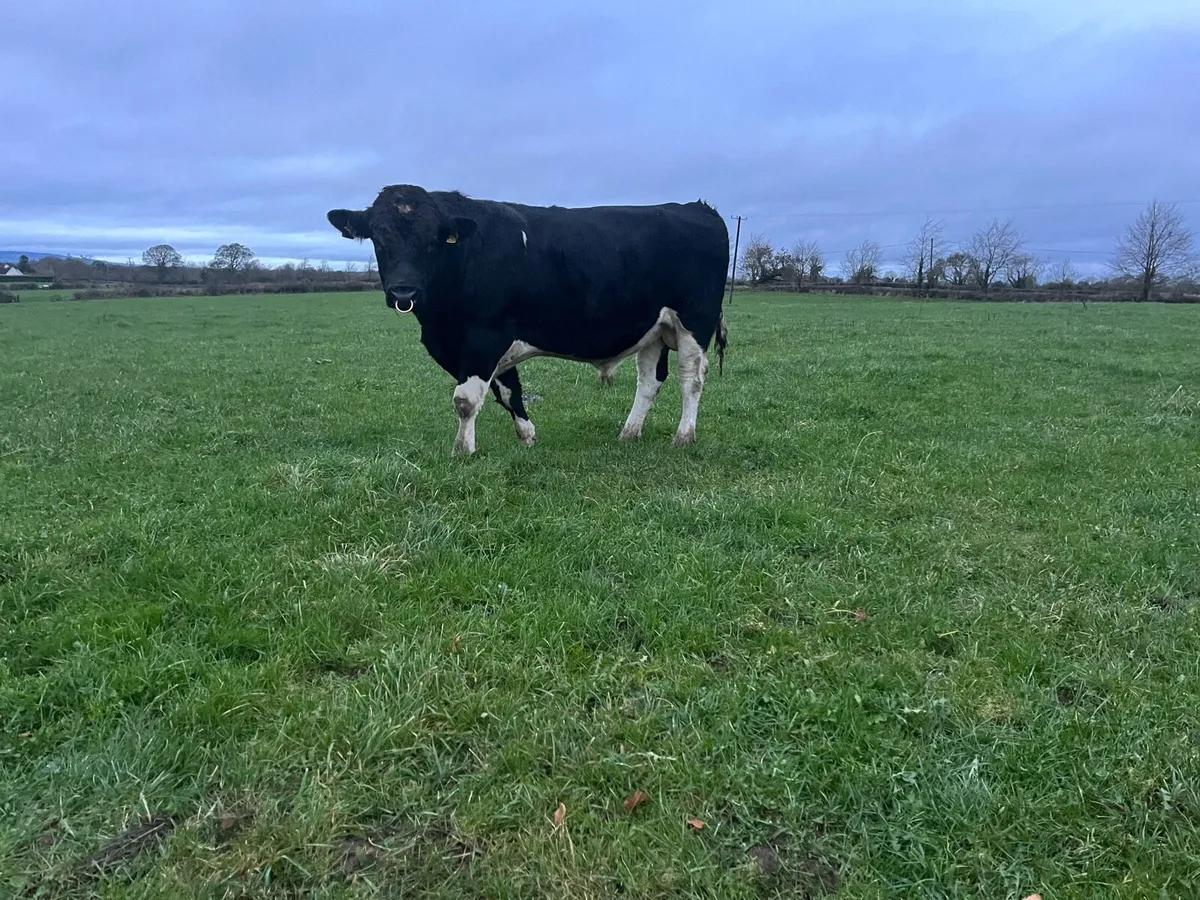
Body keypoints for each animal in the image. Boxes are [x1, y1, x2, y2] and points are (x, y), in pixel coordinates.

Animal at [326, 184, 729, 455]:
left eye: (433, 240)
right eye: (379, 239)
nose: (403, 292)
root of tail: (697, 207)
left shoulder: (485, 334)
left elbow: (466, 399)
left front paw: (462, 450)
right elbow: (508, 391)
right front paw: (527, 435)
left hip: (694, 321)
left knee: (692, 378)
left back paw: (683, 436)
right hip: (654, 330)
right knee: (649, 381)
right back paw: (628, 433)